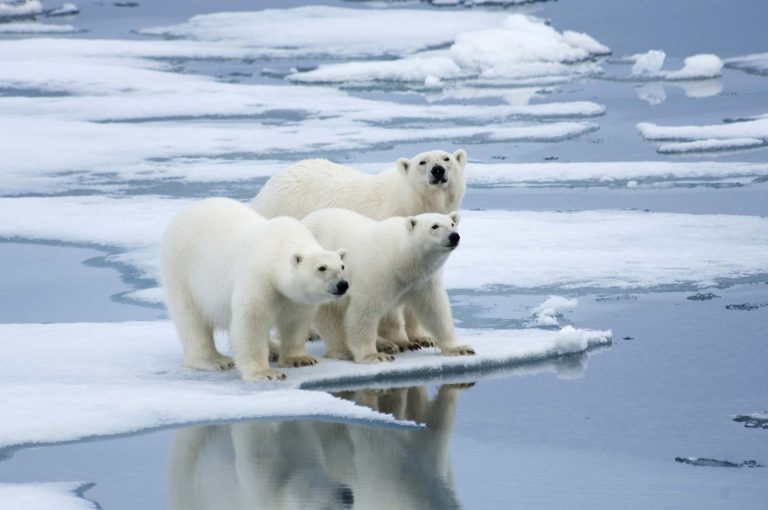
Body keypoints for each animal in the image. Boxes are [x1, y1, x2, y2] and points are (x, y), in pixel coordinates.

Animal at [160, 197, 348, 381]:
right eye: (321, 268)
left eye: (342, 266)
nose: (342, 285)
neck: (278, 249)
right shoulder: (259, 277)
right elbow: (252, 320)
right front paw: (265, 373)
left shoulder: (296, 298)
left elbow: (295, 321)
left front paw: (300, 359)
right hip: (181, 271)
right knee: (191, 319)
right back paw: (215, 360)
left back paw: (274, 349)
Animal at [251, 149, 468, 348]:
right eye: (422, 162)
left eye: (446, 158)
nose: (438, 170)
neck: (408, 201)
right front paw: (402, 340)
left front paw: (422, 337)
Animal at [301, 208, 475, 363]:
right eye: (435, 226)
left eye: (452, 224)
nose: (454, 236)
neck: (401, 258)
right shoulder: (378, 273)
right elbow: (364, 312)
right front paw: (373, 356)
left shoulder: (424, 280)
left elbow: (434, 309)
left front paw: (459, 348)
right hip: (323, 281)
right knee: (329, 315)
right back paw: (347, 350)